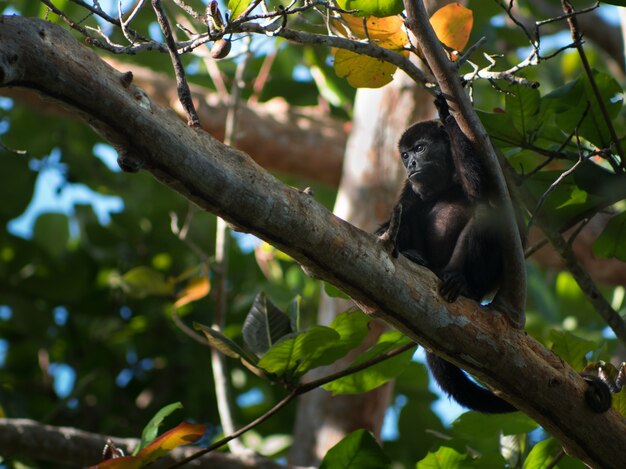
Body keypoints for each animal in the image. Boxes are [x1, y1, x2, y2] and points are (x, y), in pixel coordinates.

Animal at [376, 96, 608, 414]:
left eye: (420, 149)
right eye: (405, 155)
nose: (410, 163)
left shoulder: (492, 169)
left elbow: (487, 199)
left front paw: (449, 116)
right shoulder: (409, 187)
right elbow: (392, 220)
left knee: (485, 215)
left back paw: (459, 282)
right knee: (409, 216)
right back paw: (414, 257)